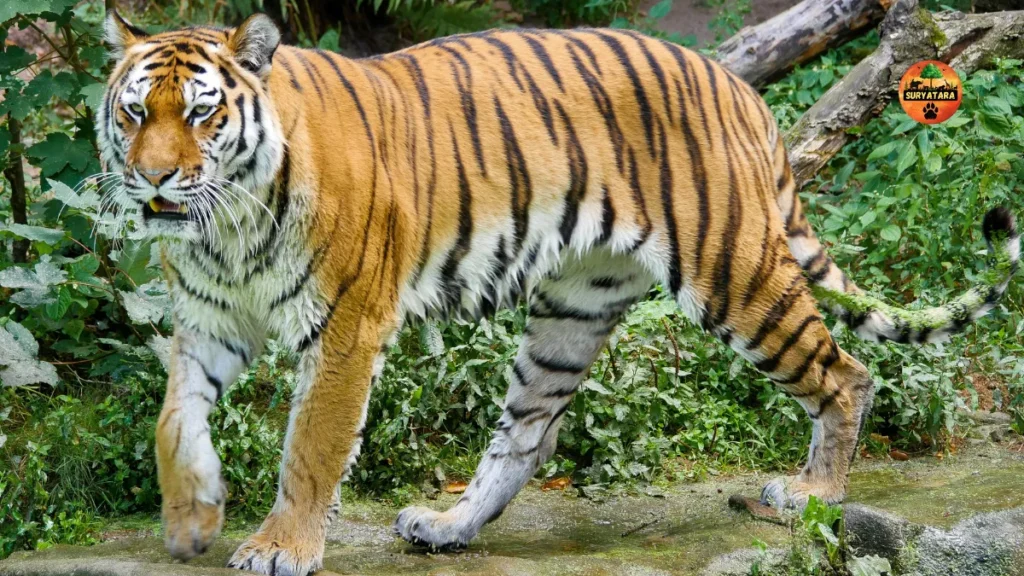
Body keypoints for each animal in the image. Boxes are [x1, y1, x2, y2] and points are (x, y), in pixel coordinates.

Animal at [96, 8, 1020, 576]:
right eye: (137, 112)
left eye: (204, 114)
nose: (155, 180)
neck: (224, 224)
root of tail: (736, 84)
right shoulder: (210, 322)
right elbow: (171, 421)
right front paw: (191, 519)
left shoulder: (347, 326)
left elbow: (310, 449)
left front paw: (281, 546)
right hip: (574, 305)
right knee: (528, 434)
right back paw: (449, 527)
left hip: (734, 273)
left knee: (846, 373)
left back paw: (814, 496)